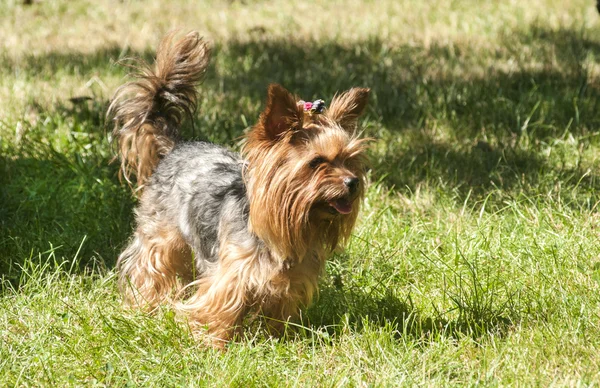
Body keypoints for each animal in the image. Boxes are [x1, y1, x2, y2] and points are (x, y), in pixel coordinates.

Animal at [108, 30, 370, 346]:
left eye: (350, 160)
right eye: (317, 162)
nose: (353, 183)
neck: (283, 230)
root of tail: (176, 146)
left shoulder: (291, 280)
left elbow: (279, 312)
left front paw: (279, 339)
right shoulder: (231, 273)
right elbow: (218, 307)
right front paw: (211, 343)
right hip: (160, 232)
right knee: (150, 265)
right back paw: (144, 306)